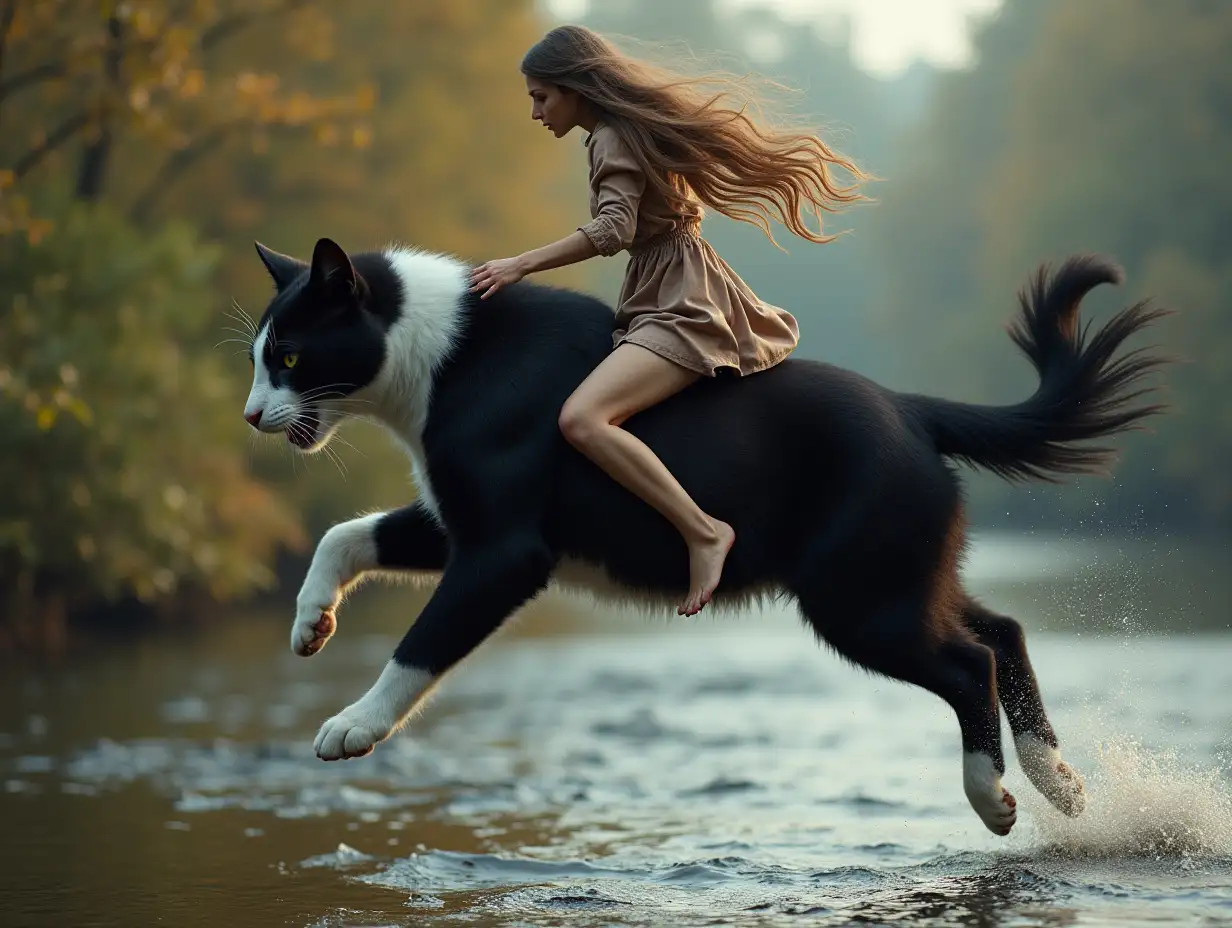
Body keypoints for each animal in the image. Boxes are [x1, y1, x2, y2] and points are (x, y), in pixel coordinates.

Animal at [237, 236, 1163, 833]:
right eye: (260, 354)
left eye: (289, 356)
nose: (249, 416)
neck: (441, 357)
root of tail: (912, 409)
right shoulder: (455, 521)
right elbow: (343, 534)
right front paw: (309, 624)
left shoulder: (504, 552)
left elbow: (418, 648)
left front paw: (351, 727)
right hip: (904, 576)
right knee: (1003, 630)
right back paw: (1059, 782)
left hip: (860, 602)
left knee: (971, 663)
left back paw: (993, 799)